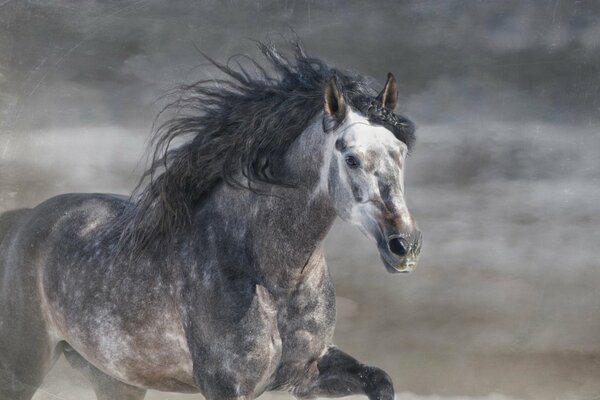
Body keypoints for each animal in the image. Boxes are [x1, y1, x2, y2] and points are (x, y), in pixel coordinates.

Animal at [0, 41, 422, 400]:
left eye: (401, 152)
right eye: (350, 158)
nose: (404, 246)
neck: (274, 277)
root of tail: (25, 221)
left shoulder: (306, 373)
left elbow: (380, 380)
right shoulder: (227, 386)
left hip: (115, 379)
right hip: (23, 367)